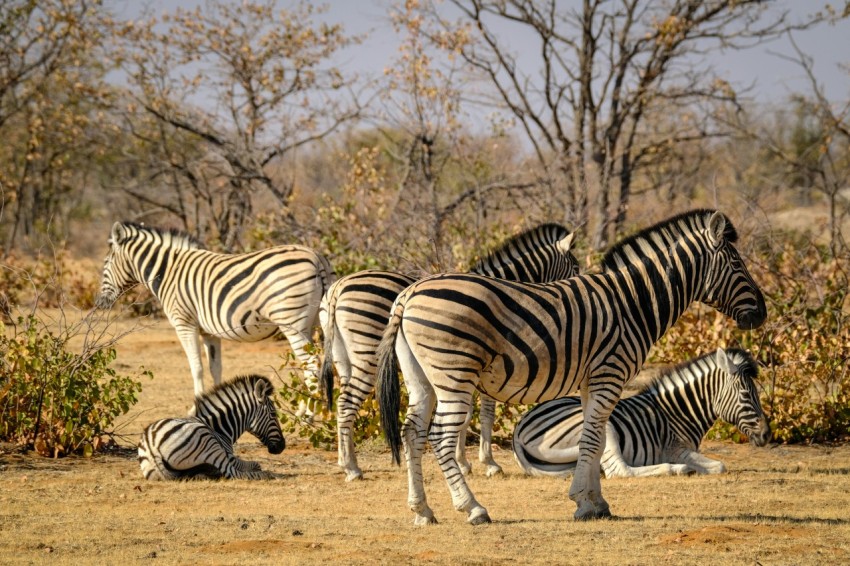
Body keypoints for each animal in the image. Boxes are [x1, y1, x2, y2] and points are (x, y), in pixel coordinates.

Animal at [95, 222, 334, 398]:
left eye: (105, 263)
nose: (98, 303)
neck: (169, 271)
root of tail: (316, 256)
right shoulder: (209, 332)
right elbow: (215, 368)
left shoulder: (184, 324)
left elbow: (196, 368)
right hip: (320, 322)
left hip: (293, 323)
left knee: (311, 365)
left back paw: (307, 415)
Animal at [138, 374, 284, 480]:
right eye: (273, 414)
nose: (282, 446)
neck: (219, 429)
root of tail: (151, 446)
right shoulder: (230, 457)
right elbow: (256, 464)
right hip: (209, 443)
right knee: (233, 473)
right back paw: (266, 475)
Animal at [319, 224, 580, 481]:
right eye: (576, 267)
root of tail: (337, 289)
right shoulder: (486, 366)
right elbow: (483, 414)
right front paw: (487, 463)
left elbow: (466, 415)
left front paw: (463, 461)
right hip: (368, 354)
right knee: (348, 403)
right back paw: (352, 468)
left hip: (343, 359)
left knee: (342, 401)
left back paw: (345, 461)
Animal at [512, 348, 771, 479]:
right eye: (746, 395)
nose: (767, 435)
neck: (678, 412)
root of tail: (518, 429)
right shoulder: (675, 449)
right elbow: (720, 466)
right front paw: (696, 467)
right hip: (602, 426)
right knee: (620, 471)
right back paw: (678, 469)